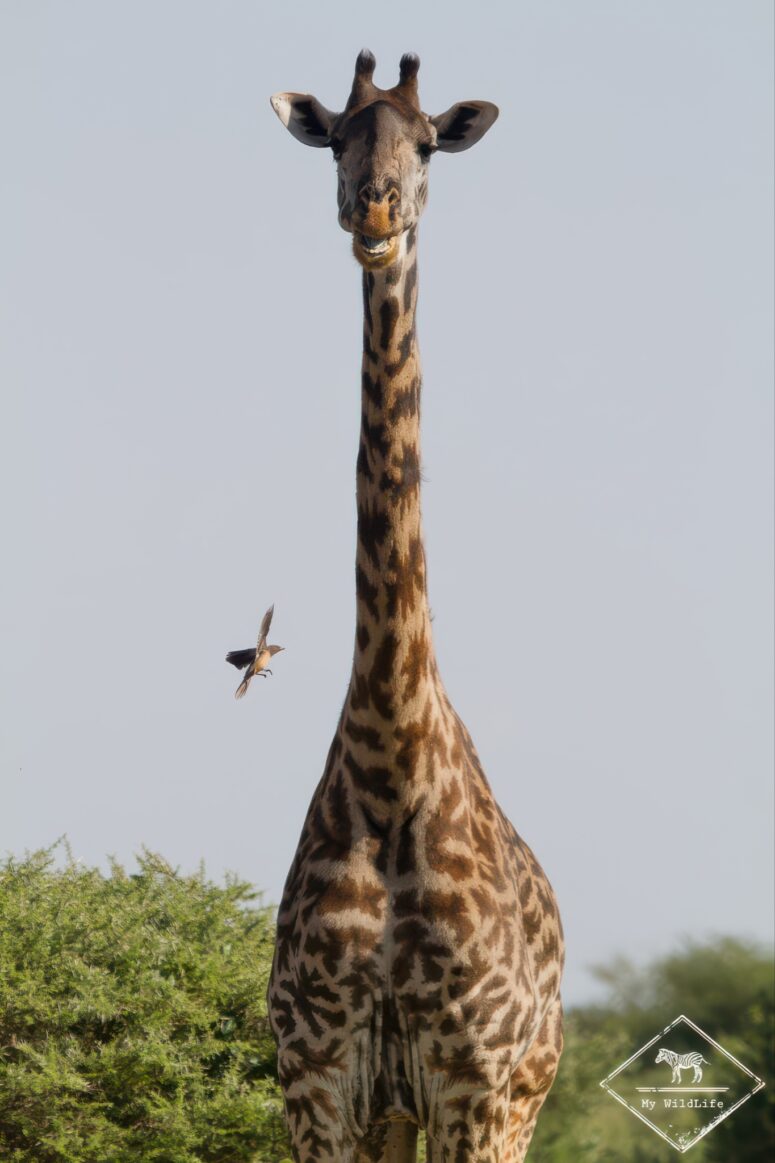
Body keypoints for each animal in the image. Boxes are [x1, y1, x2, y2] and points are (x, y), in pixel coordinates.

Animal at [267, 51, 564, 1163]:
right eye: (338, 140)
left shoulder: (472, 1082)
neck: (391, 756)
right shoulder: (318, 1080)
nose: (375, 207)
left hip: (524, 1097)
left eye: (428, 141)